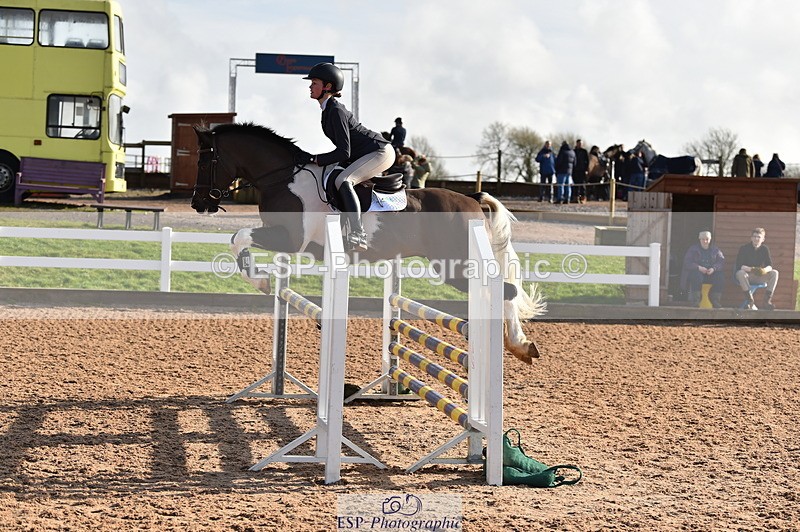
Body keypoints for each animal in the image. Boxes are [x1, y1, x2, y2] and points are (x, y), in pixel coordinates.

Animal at [191, 122, 546, 364]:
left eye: (204, 161)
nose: (197, 203)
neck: (283, 178)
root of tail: (472, 198)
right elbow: (240, 241)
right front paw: (263, 278)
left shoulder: (290, 240)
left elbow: (238, 238)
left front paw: (261, 281)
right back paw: (519, 345)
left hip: (454, 265)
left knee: (505, 290)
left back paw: (517, 344)